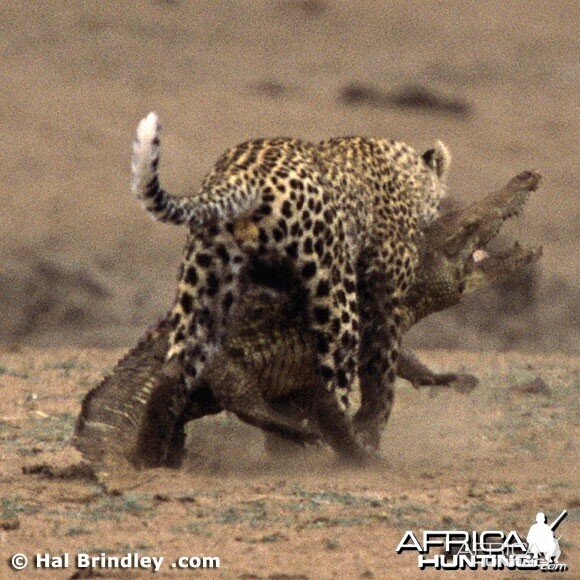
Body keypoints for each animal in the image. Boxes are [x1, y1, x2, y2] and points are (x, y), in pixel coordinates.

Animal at [129, 113, 450, 462]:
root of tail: (241, 172)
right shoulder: (386, 295)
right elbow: (381, 373)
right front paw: (370, 431)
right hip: (337, 292)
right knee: (332, 389)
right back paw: (351, 453)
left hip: (205, 283)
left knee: (174, 370)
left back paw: (148, 458)